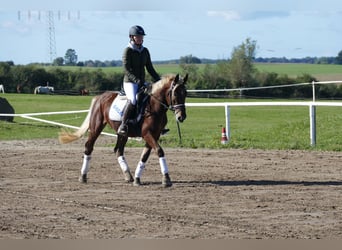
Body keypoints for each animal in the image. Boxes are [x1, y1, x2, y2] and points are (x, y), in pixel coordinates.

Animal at [58, 73, 187, 188]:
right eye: (175, 93)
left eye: (185, 93)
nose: (181, 117)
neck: (154, 107)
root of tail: (99, 97)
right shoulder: (147, 134)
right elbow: (159, 151)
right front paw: (166, 179)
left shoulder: (155, 135)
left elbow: (145, 156)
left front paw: (137, 179)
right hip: (96, 128)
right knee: (89, 146)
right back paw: (83, 176)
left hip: (123, 133)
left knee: (118, 150)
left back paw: (128, 176)